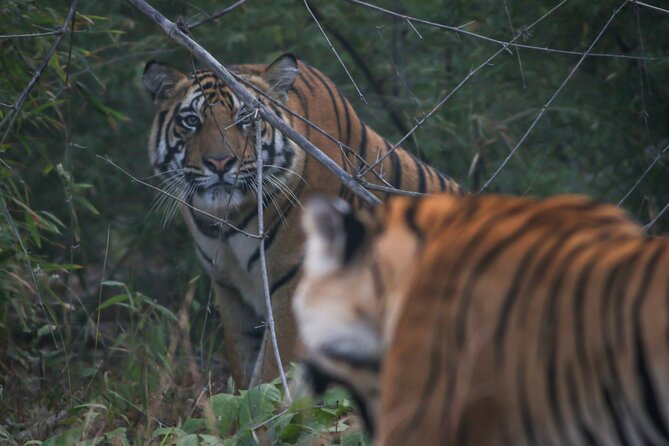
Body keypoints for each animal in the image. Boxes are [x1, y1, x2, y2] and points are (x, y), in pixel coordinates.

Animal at [141, 53, 462, 388]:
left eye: (246, 119)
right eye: (192, 121)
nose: (220, 162)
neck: (226, 218)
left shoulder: (296, 279)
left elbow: (273, 370)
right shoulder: (229, 288)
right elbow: (243, 366)